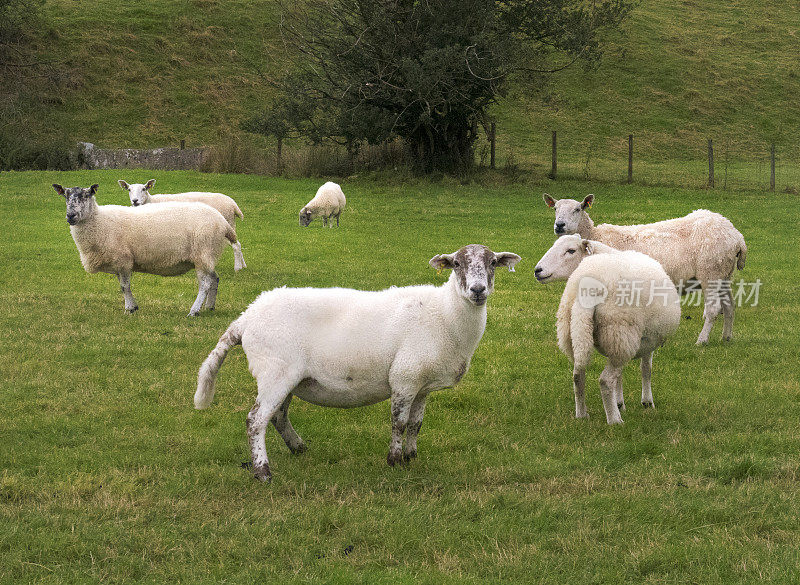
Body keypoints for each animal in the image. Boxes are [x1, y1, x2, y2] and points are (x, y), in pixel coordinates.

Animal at [53, 185, 241, 318]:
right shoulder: (118, 263)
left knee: (205, 285)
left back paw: (194, 311)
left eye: (86, 196)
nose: (70, 216)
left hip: (203, 252)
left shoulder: (123, 260)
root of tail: (222, 222)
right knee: (215, 278)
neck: (99, 221)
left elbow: (124, 286)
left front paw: (130, 308)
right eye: (65, 196)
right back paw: (209, 306)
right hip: (208, 255)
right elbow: (122, 286)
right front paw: (133, 307)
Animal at [117, 178, 245, 272]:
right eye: (129, 189)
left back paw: (237, 268)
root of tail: (233, 204)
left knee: (235, 245)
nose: (135, 201)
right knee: (238, 243)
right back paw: (243, 265)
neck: (151, 201)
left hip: (225, 224)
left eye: (144, 189)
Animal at [192, 242, 520, 480]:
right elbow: (399, 422)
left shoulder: (422, 384)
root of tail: (246, 317)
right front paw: (394, 461)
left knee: (277, 416)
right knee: (255, 421)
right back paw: (263, 471)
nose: (478, 290)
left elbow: (416, 424)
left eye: (492, 263)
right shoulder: (404, 378)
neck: (444, 314)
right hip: (274, 371)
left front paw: (411, 457)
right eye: (457, 264)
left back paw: (299, 448)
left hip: (287, 377)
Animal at [536, 234, 680, 424]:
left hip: (579, 332)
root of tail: (588, 288)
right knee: (605, 380)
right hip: (619, 330)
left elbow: (621, 376)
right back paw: (614, 420)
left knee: (578, 376)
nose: (537, 270)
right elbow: (646, 369)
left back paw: (582, 414)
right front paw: (647, 402)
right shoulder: (648, 339)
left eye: (571, 250)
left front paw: (620, 403)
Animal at [540, 194, 748, 344]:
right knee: (729, 306)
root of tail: (736, 235)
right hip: (724, 273)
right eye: (555, 208)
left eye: (577, 209)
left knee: (713, 309)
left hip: (711, 272)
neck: (594, 236)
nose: (559, 225)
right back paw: (726, 337)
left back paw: (702, 340)